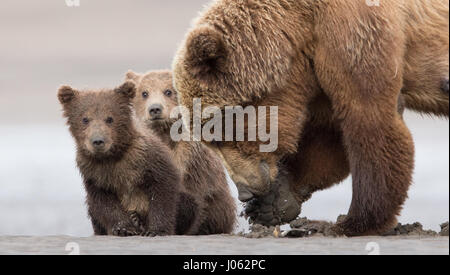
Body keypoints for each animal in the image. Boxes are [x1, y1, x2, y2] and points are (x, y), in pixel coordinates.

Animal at [171, 0, 446, 237]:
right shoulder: (317, 65)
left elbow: (368, 119)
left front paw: (351, 223)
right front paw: (274, 203)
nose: (244, 193)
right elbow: (329, 136)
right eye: (208, 141)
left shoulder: (356, 31)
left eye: (216, 135)